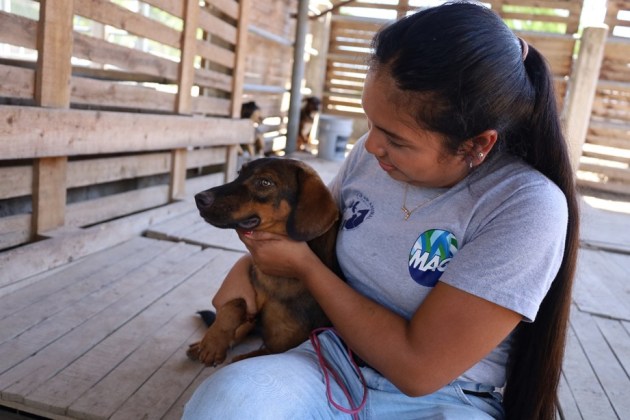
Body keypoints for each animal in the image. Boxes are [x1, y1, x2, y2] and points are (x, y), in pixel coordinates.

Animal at [188, 158, 340, 368]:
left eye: (265, 182)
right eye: (239, 173)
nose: (199, 198)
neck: (275, 282)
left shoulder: (278, 348)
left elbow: (241, 358)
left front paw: (215, 344)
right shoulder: (250, 299)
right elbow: (235, 304)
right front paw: (213, 341)